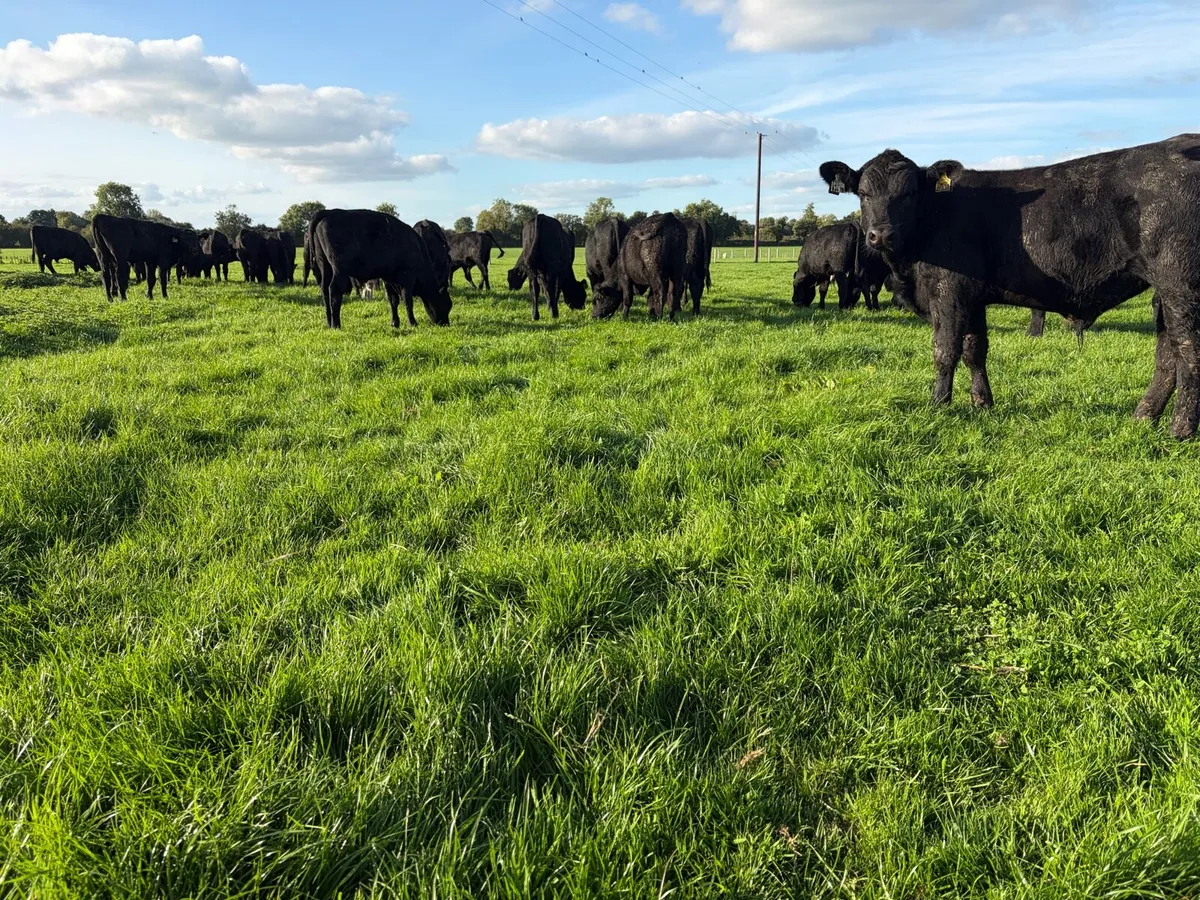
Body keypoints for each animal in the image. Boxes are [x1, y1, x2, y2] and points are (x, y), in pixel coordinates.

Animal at [307, 208, 452, 330]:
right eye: (448, 304)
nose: (445, 323)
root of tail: (328, 212)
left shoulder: (388, 279)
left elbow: (393, 301)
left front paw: (395, 323)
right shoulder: (407, 278)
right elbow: (407, 301)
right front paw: (412, 323)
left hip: (325, 266)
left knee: (325, 290)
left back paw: (329, 323)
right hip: (339, 271)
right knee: (334, 291)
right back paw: (336, 325)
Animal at [819, 135, 1200, 437]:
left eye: (910, 193)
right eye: (863, 194)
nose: (880, 234)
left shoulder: (948, 293)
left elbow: (945, 350)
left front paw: (938, 405)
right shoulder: (971, 298)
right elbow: (974, 350)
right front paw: (982, 403)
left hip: (1180, 283)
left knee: (1188, 349)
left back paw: (1180, 429)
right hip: (1163, 291)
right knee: (1167, 353)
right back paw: (1143, 417)